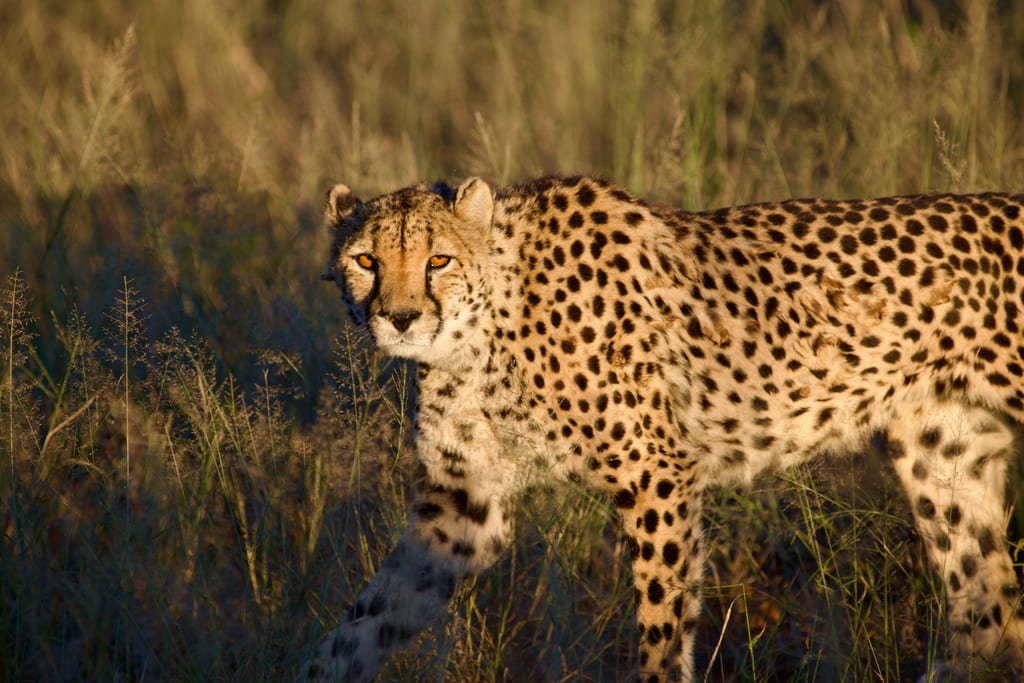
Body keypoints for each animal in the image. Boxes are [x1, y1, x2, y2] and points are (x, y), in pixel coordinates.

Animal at [310, 174, 1024, 682]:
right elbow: (367, 617)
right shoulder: (464, 507)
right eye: (367, 261)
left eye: (437, 261)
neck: (483, 330)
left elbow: (661, 622)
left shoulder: (657, 475)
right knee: (990, 619)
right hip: (945, 452)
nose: (400, 317)